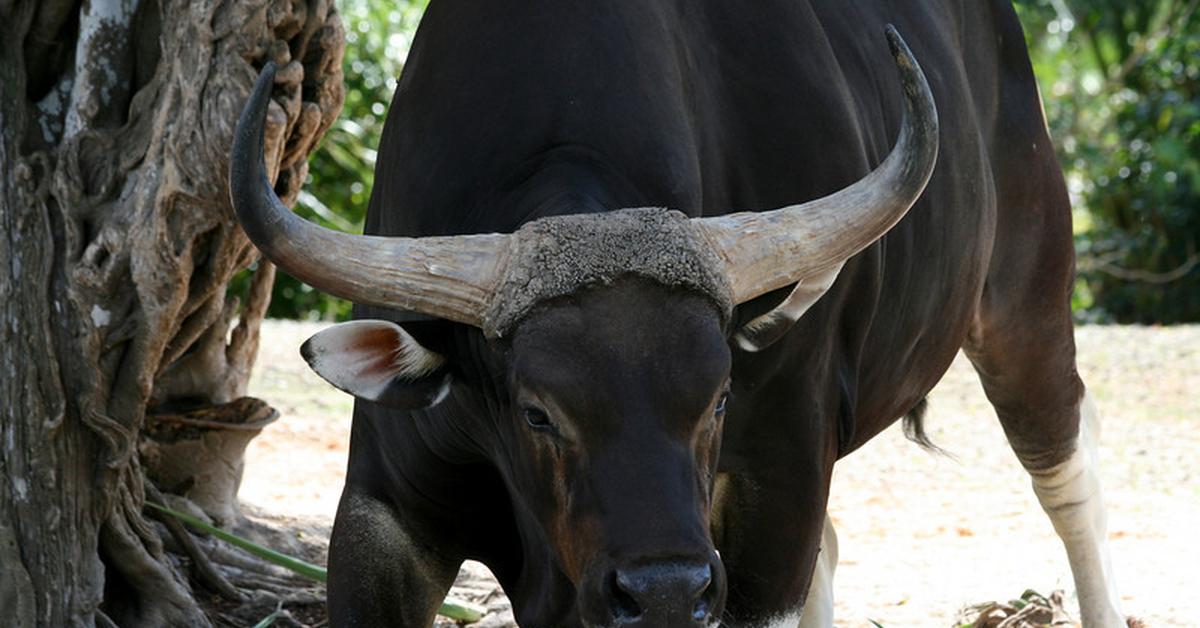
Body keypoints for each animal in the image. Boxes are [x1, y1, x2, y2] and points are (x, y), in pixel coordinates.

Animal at [229, 2, 1128, 624]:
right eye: (537, 412)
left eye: (721, 396)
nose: (663, 588)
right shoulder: (383, 514)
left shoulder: (773, 493)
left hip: (1026, 303)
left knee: (1066, 469)